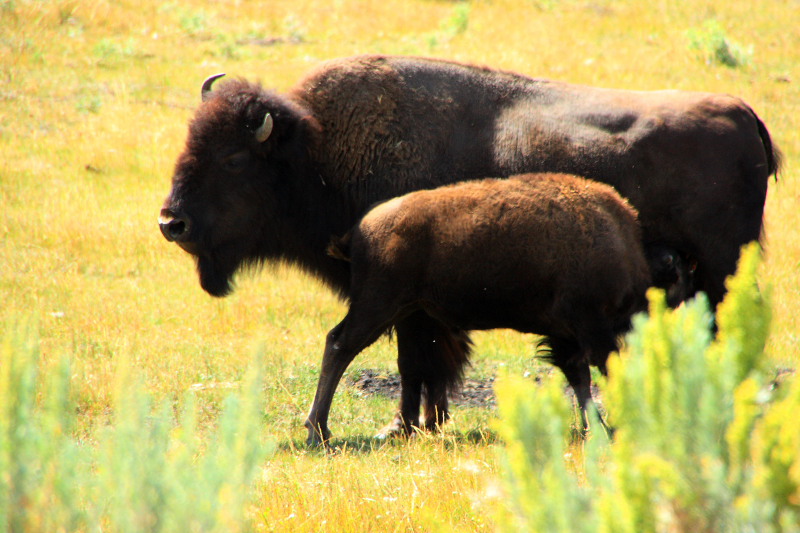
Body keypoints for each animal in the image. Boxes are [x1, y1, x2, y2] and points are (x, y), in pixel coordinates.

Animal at [304, 171, 648, 444]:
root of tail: (361, 228)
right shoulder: (591, 325)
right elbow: (605, 372)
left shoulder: (569, 335)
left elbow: (581, 379)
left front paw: (597, 428)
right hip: (377, 306)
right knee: (339, 345)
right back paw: (318, 432)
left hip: (399, 308)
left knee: (341, 345)